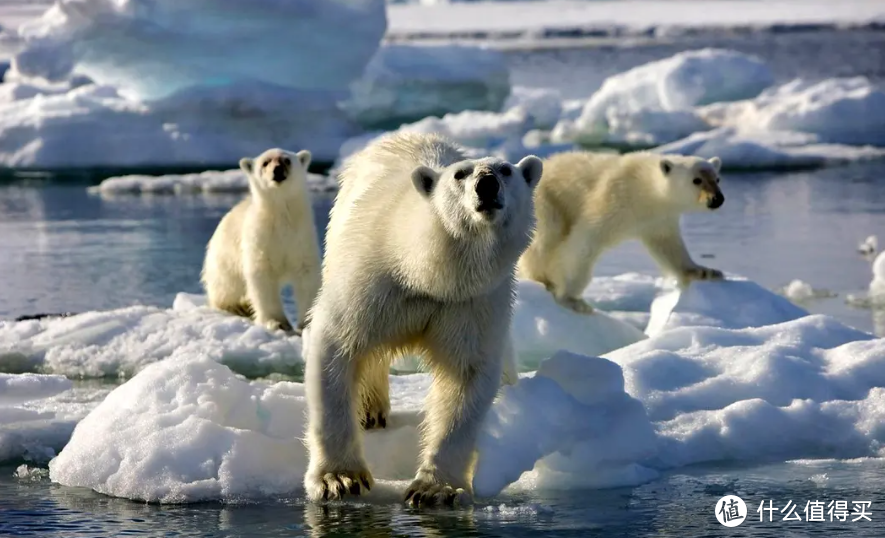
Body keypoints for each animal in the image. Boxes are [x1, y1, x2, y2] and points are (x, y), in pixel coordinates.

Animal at [200, 147, 322, 330]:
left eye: (287, 160)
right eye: (265, 162)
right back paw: (238, 306)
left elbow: (306, 275)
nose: (277, 170)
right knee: (226, 285)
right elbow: (262, 277)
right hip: (224, 260)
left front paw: (306, 322)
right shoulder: (260, 239)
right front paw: (277, 321)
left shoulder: (301, 236)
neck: (280, 216)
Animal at [302, 132, 540, 504]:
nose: (486, 184)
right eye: (460, 174)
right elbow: (338, 346)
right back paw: (370, 411)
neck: (426, 273)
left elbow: (466, 375)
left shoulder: (471, 303)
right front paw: (338, 479)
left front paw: (435, 489)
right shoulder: (373, 283)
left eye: (505, 170)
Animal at [516, 149, 724, 312]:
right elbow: (584, 242)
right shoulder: (614, 199)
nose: (717, 199)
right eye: (696, 180)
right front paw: (571, 299)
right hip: (545, 202)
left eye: (717, 179)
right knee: (545, 239)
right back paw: (541, 279)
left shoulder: (659, 219)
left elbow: (669, 246)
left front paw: (705, 272)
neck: (645, 189)